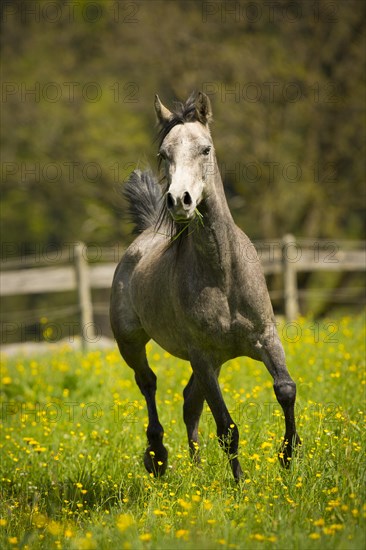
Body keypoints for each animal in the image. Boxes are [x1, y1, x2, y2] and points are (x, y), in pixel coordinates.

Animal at [110, 92, 302, 480]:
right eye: (163, 154)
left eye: (206, 149)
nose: (179, 200)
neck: (223, 275)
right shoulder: (202, 355)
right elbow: (227, 427)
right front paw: (241, 484)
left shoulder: (266, 338)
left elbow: (286, 389)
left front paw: (288, 457)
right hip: (133, 344)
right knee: (149, 383)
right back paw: (157, 457)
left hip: (212, 363)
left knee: (189, 401)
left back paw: (197, 471)